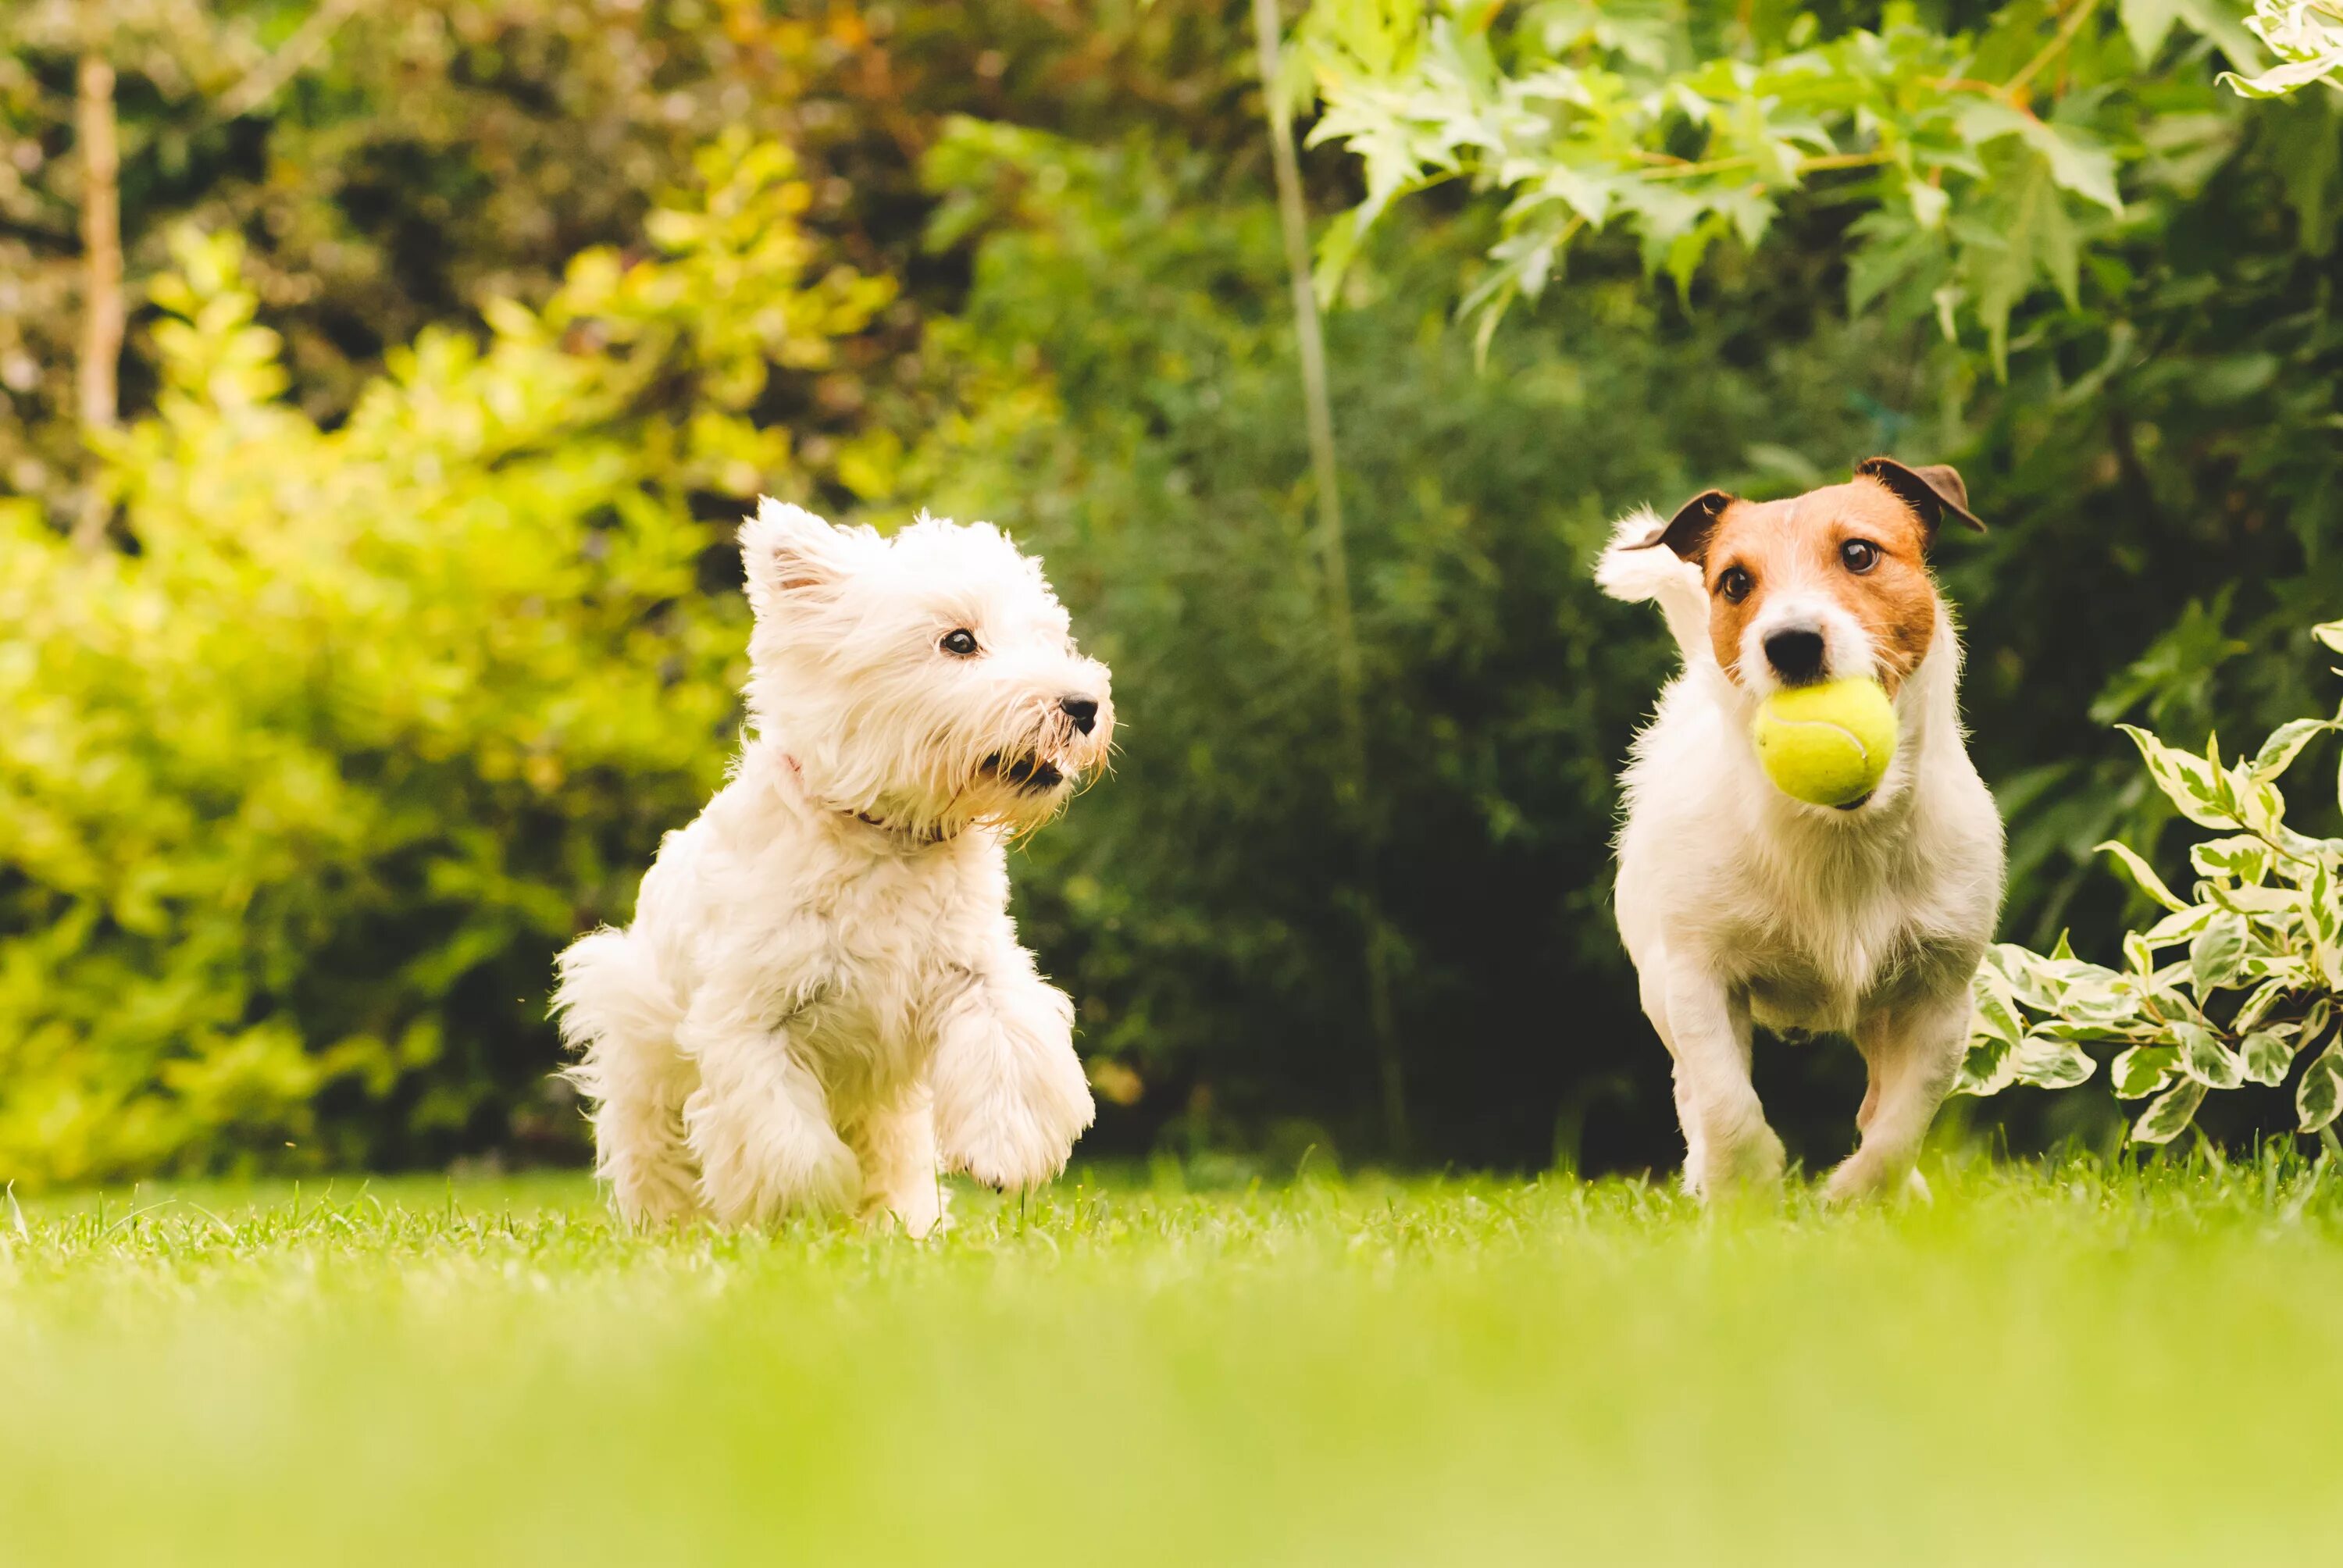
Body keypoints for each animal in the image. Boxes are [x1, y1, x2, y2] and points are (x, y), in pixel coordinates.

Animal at [562, 494, 1120, 1228]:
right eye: (959, 641)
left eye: (1050, 636)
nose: (1083, 706)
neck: (888, 839)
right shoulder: (752, 1018)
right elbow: (789, 1146)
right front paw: (805, 1212)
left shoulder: (973, 971)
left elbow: (1007, 1043)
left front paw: (1004, 1154)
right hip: (640, 1052)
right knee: (656, 1159)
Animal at [1603, 461, 2006, 1199]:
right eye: (1734, 581)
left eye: (1860, 553)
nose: (1790, 642)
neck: (1839, 831)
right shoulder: (1698, 979)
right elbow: (1726, 1100)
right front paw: (1746, 1182)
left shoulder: (1940, 996)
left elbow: (1903, 1120)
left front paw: (1858, 1193)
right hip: (1659, 987)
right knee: (1691, 1088)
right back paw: (1705, 1171)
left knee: (1878, 1102)